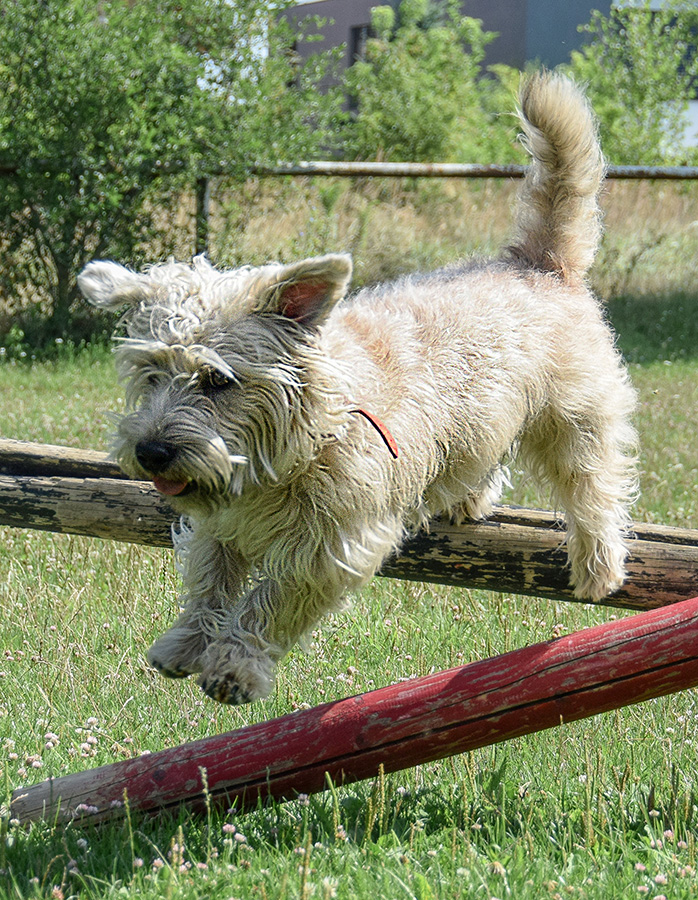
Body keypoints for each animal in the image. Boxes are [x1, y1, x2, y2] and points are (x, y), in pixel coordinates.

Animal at [79, 72, 637, 705]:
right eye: (150, 373)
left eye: (217, 380)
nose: (150, 451)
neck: (297, 443)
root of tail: (536, 263)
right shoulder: (218, 526)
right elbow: (209, 581)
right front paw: (187, 641)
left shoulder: (330, 546)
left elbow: (268, 601)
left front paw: (236, 664)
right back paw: (466, 498)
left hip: (577, 418)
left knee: (594, 486)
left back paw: (598, 563)